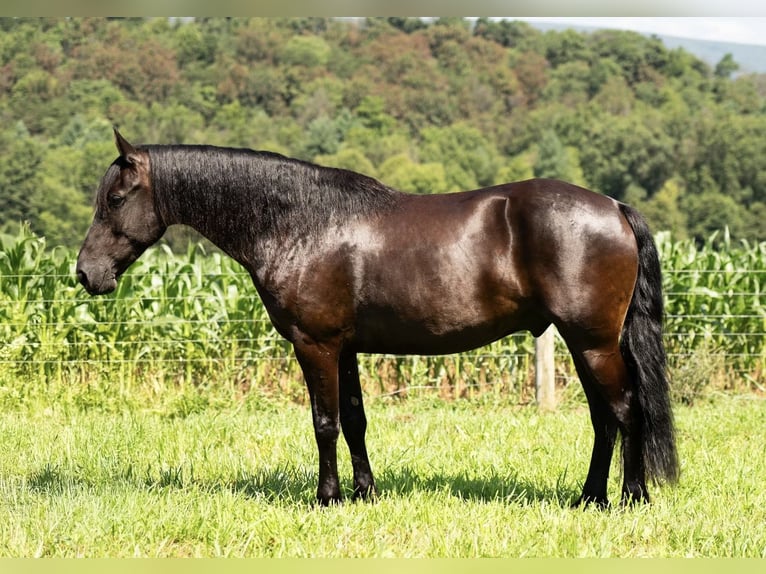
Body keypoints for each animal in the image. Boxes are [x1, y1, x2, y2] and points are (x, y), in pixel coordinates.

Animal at [76, 129, 678, 507]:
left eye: (116, 198)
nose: (85, 274)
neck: (301, 222)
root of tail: (613, 206)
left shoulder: (315, 344)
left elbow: (324, 422)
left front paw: (327, 499)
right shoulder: (344, 348)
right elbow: (355, 419)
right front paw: (365, 492)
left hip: (593, 342)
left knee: (625, 411)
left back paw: (630, 498)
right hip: (584, 343)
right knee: (604, 418)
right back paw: (589, 498)